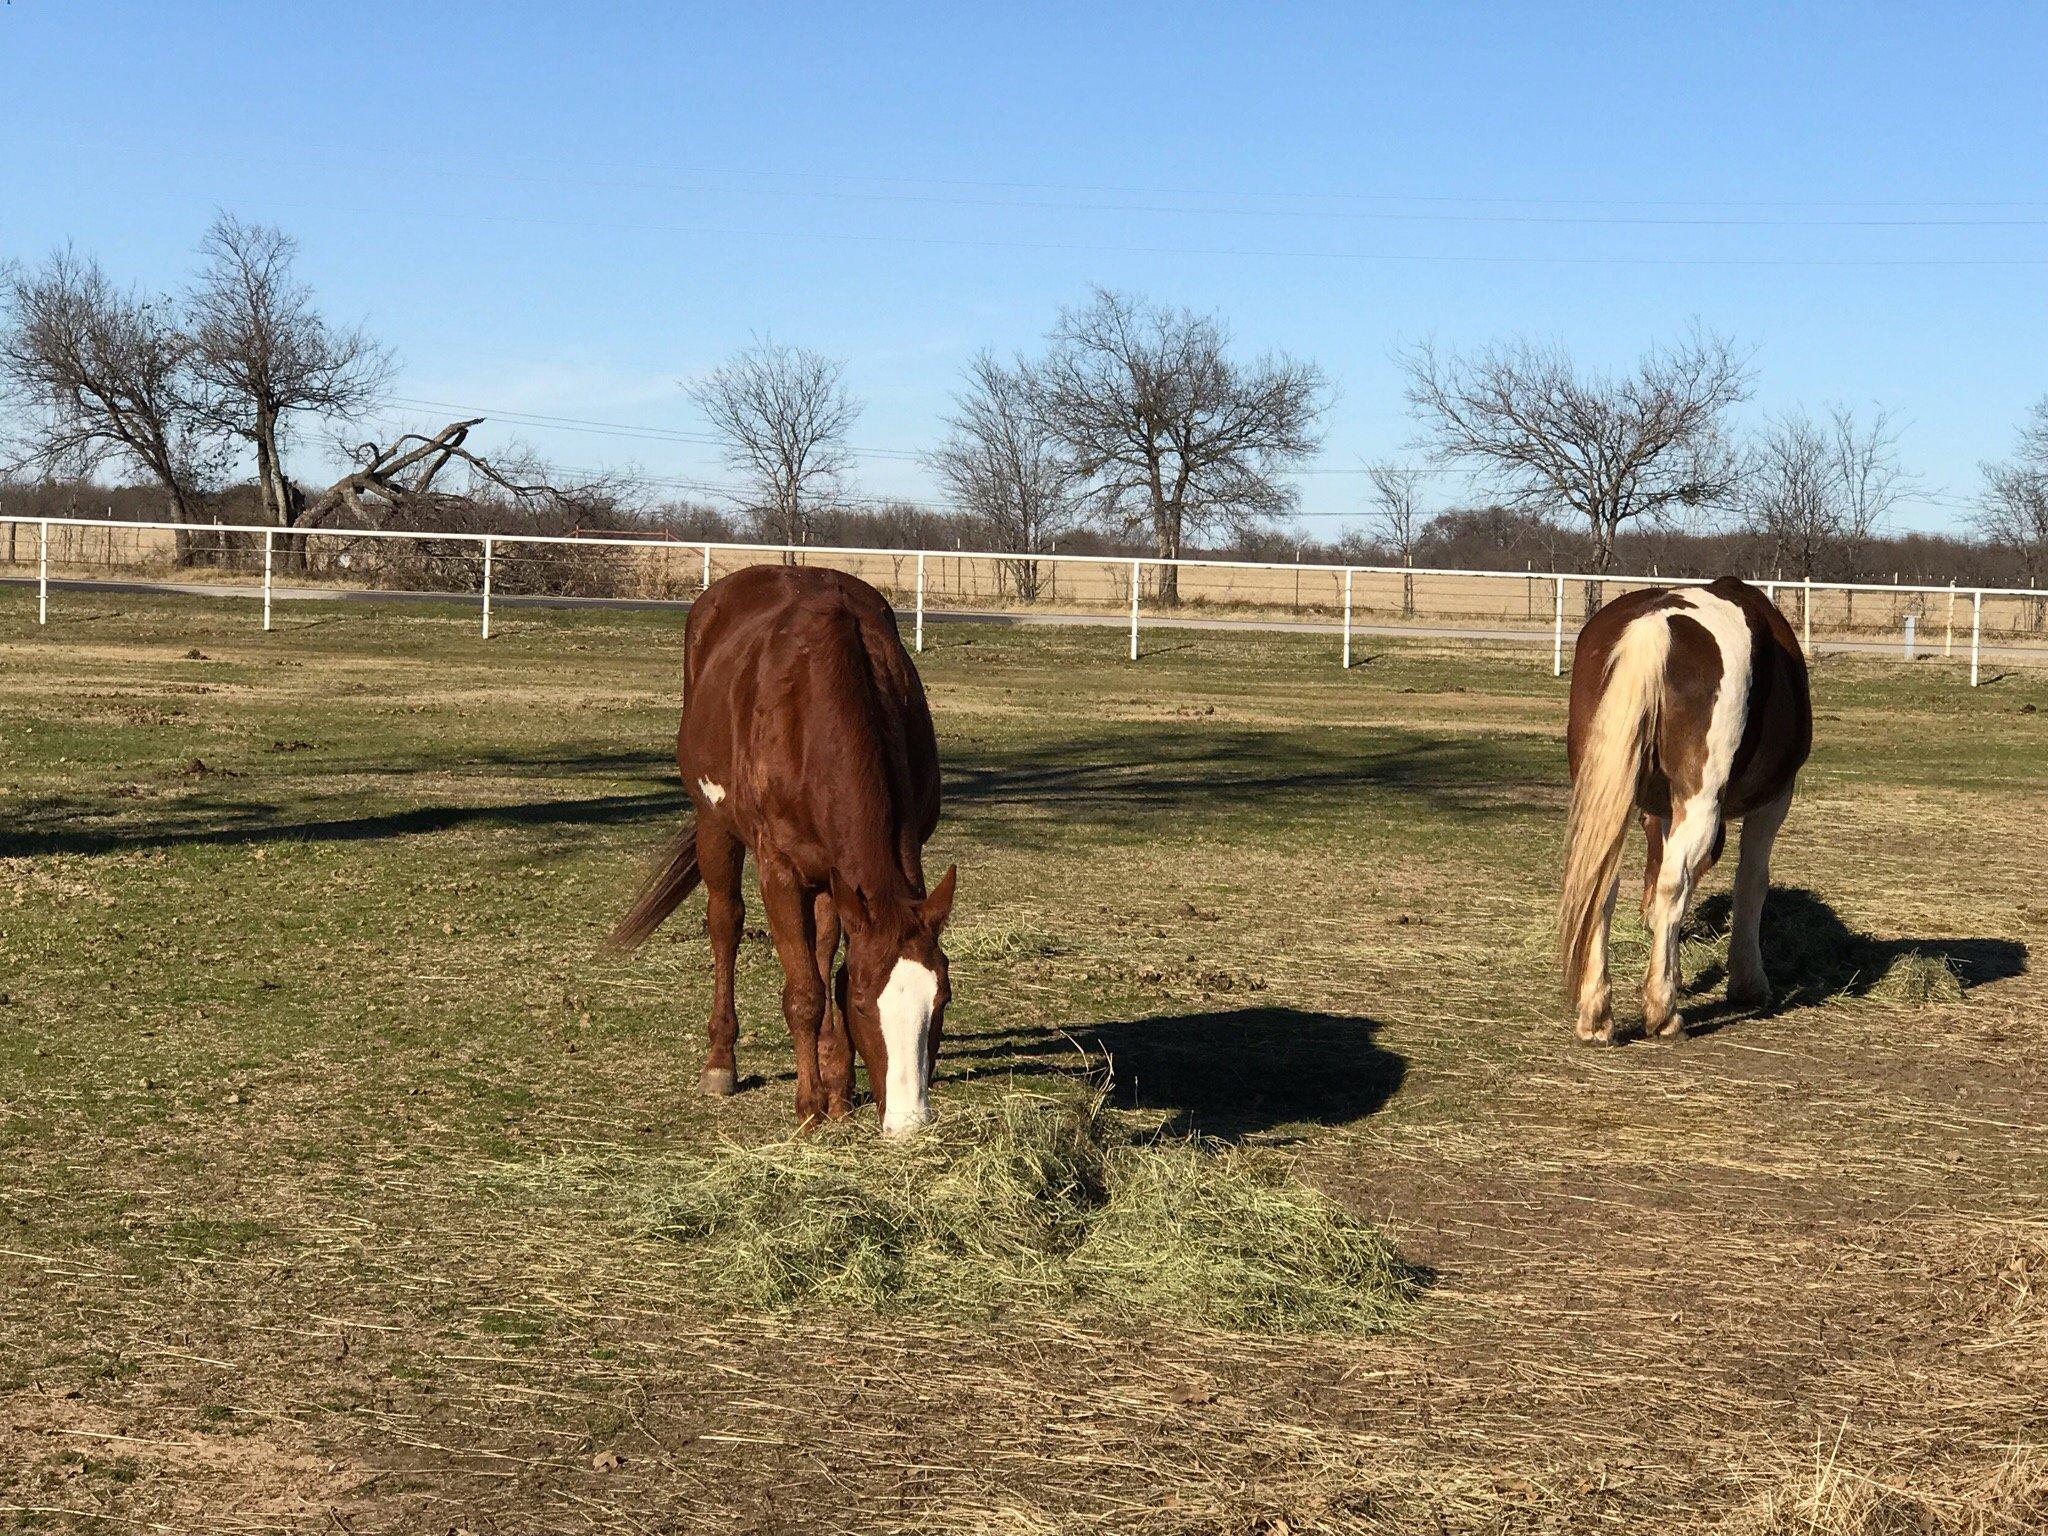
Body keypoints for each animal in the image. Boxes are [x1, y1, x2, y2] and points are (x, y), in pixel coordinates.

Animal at [602, 565, 954, 1130]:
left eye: (942, 998)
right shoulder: (780, 871)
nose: (908, 1122)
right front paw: (809, 1106)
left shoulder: (846, 875)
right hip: (715, 825)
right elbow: (806, 991)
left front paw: (838, 1089)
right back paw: (721, 1062)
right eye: (863, 1004)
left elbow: (826, 965)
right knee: (725, 922)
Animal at [1564, 577, 1810, 1048]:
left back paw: (1596, 1015)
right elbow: (1751, 881)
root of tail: (1653, 625)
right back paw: (1662, 1013)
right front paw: (1747, 981)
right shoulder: (1774, 801)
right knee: (1673, 883)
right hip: (1701, 800)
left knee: (1603, 885)